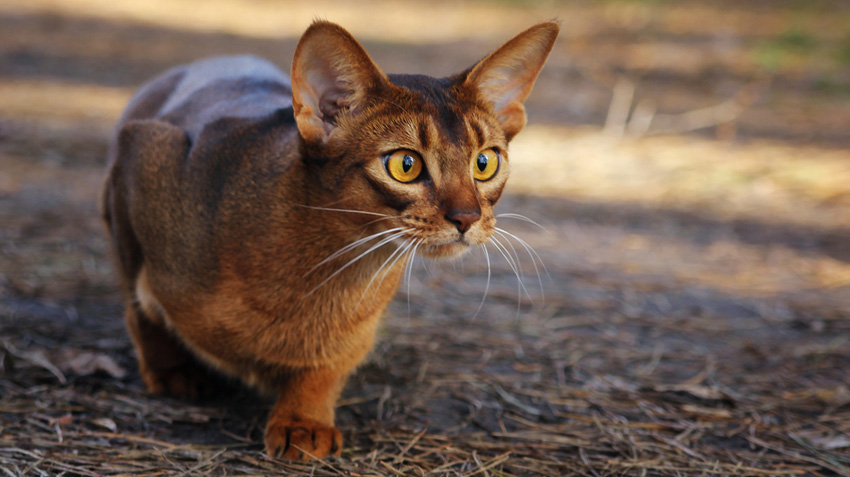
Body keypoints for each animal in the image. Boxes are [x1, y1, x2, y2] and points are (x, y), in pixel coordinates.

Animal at [102, 20, 556, 460]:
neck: (330, 269)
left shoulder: (355, 333)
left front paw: (303, 421)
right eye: (405, 165)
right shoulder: (144, 149)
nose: (467, 217)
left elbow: (326, 368)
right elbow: (138, 305)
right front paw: (169, 369)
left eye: (485, 162)